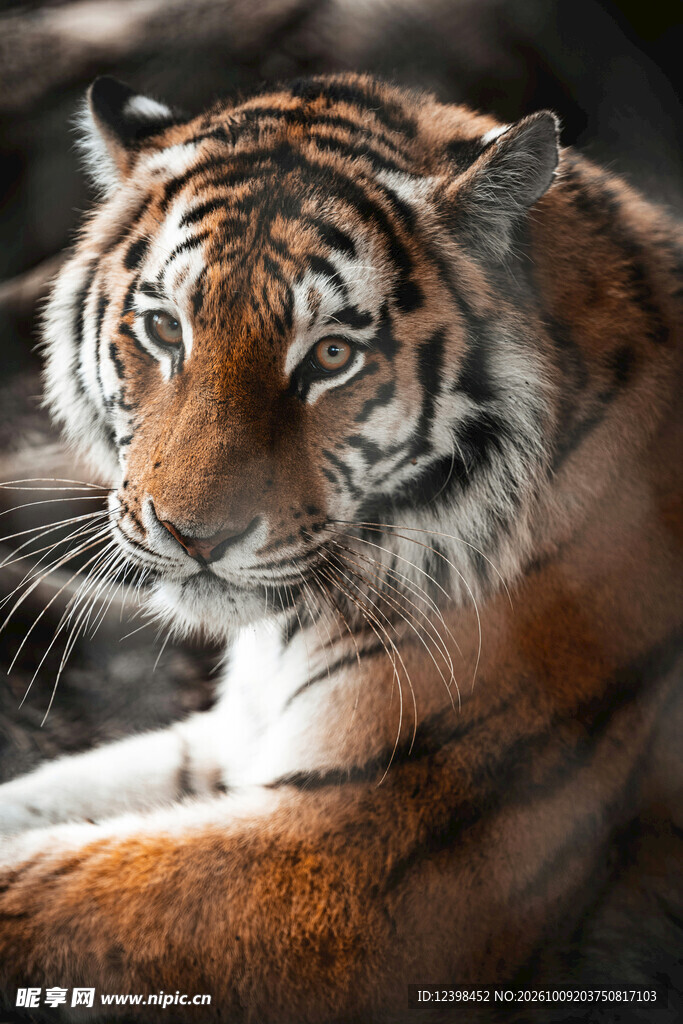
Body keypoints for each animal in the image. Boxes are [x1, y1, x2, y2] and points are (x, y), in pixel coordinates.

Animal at [0, 71, 681, 1023]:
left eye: (329, 356)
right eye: (166, 330)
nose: (192, 535)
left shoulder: (359, 853)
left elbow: (39, 887)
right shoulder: (232, 741)